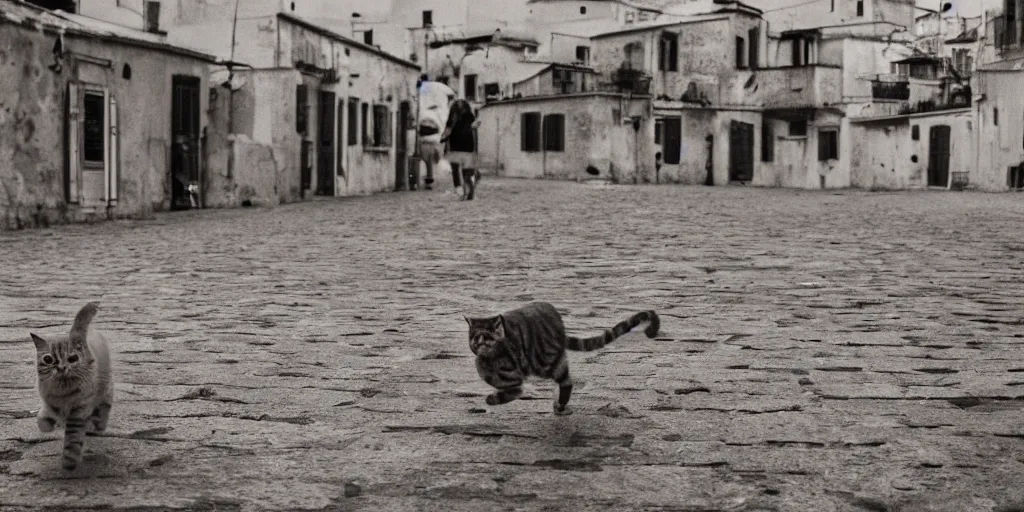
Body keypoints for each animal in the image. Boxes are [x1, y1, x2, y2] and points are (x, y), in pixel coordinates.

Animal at [29, 301, 112, 468]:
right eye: (48, 359)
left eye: (72, 359)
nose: (61, 367)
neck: (62, 392)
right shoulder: (48, 404)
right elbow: (42, 419)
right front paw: (48, 426)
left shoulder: (78, 411)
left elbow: (72, 439)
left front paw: (69, 461)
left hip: (105, 390)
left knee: (104, 408)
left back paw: (98, 424)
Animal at [466, 299, 659, 415]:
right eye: (474, 337)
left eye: (487, 337)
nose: (478, 343)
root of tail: (558, 322)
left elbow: (515, 387)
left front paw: (495, 396)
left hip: (546, 362)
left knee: (566, 381)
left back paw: (560, 404)